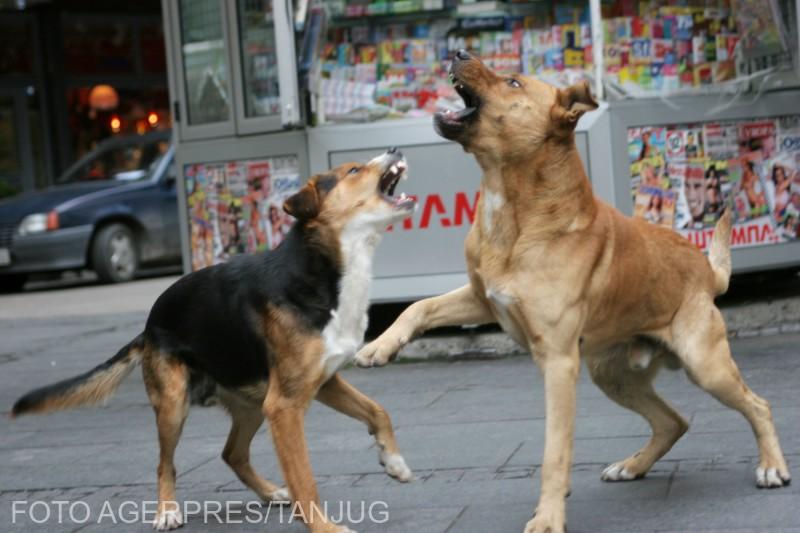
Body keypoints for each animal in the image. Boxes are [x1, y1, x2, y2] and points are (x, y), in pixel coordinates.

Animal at [12, 148, 418, 528]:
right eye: (353, 169)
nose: (395, 150)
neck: (324, 272)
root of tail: (148, 326)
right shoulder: (285, 405)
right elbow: (305, 480)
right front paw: (325, 528)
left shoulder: (322, 382)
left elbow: (377, 410)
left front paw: (394, 461)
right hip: (175, 405)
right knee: (165, 464)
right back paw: (167, 512)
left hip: (252, 403)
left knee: (232, 453)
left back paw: (271, 492)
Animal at [358, 51, 792, 532]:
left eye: (513, 81)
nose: (458, 52)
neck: (514, 210)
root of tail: (706, 271)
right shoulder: (481, 297)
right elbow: (418, 307)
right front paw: (378, 347)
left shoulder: (559, 363)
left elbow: (555, 450)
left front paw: (548, 516)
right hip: (611, 375)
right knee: (672, 421)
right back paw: (632, 466)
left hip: (705, 365)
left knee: (758, 405)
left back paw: (772, 466)